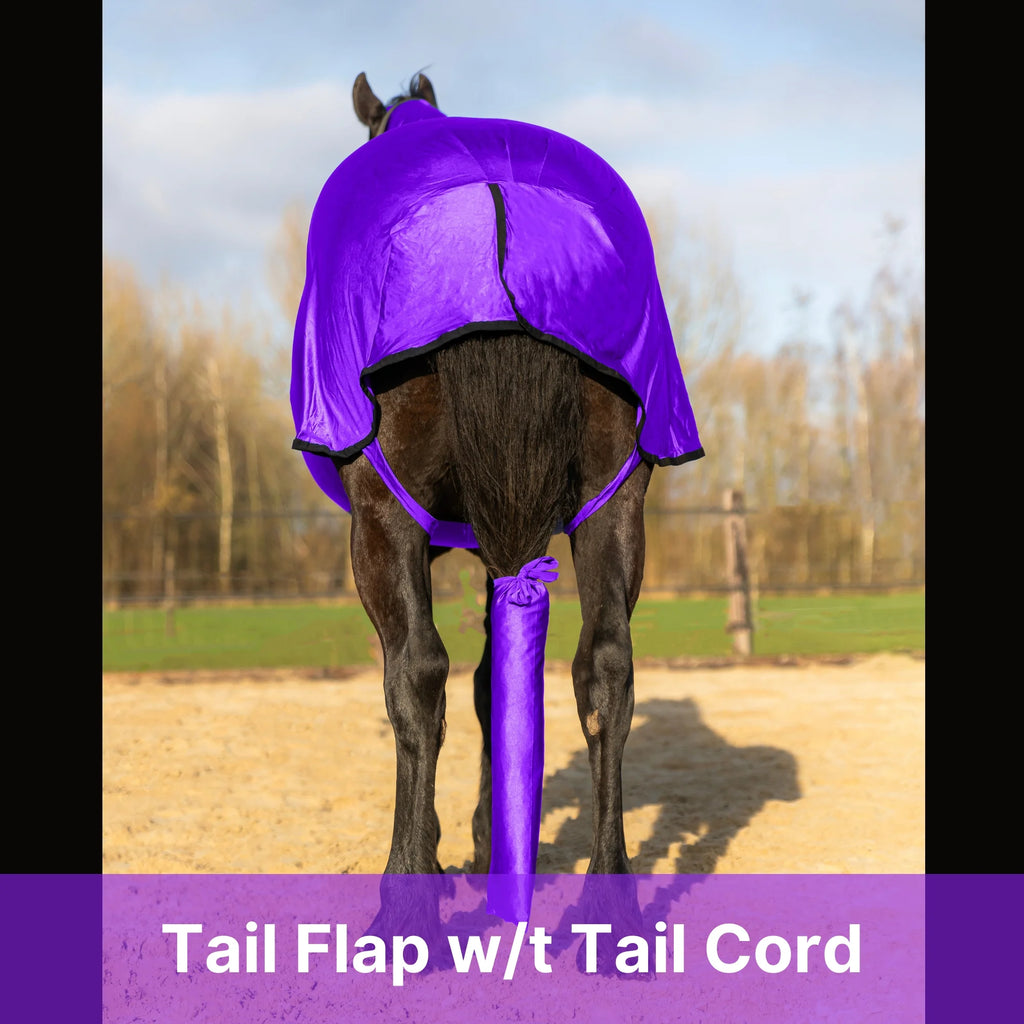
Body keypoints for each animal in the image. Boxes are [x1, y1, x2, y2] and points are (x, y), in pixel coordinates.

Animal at [291, 72, 704, 927]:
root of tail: (497, 209)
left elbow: (434, 683)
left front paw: (454, 850)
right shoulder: (508, 543)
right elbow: (495, 683)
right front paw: (494, 847)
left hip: (382, 520)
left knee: (416, 673)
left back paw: (406, 900)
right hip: (614, 503)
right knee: (606, 668)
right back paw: (609, 907)